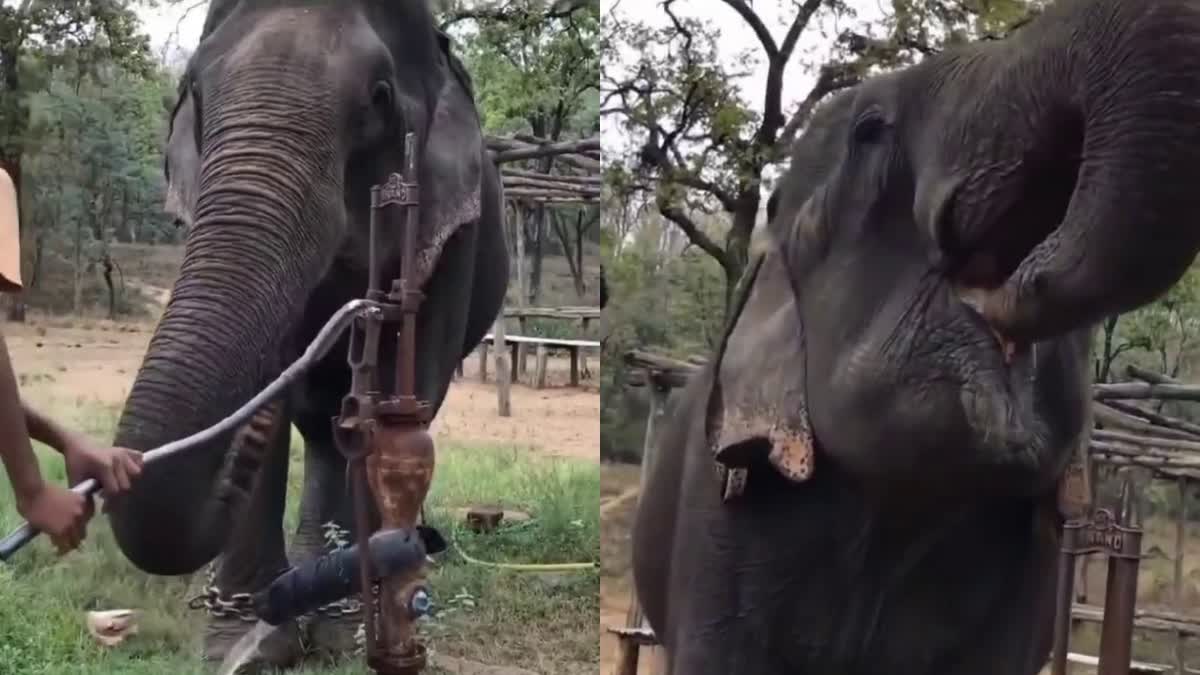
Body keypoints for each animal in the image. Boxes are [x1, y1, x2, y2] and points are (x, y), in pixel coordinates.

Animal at [100, 0, 508, 662]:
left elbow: (405, 394)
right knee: (323, 427)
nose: (238, 444)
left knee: (338, 429)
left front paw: (344, 634)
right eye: (194, 90)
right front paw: (244, 646)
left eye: (378, 97)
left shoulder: (455, 234)